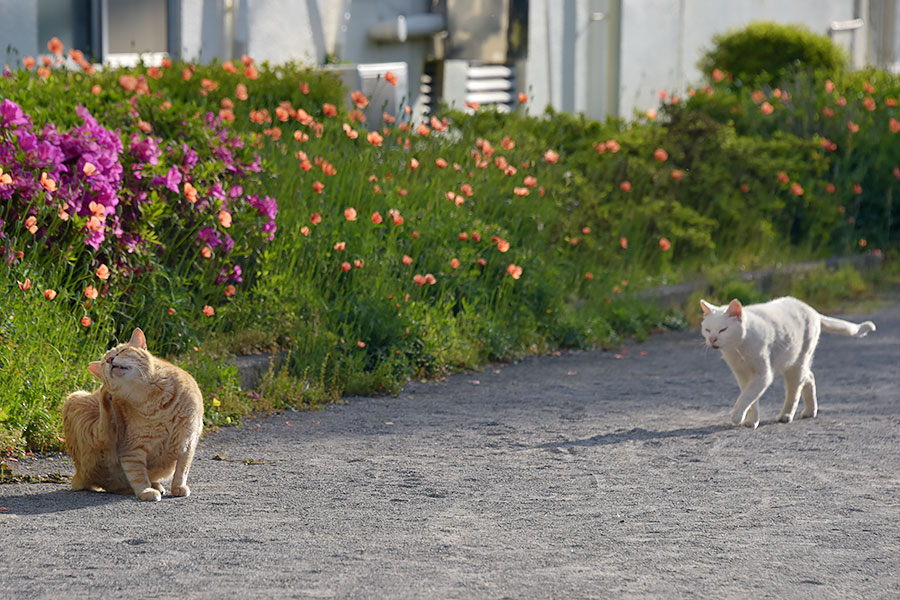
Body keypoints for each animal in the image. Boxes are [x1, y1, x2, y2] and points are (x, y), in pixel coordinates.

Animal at [62, 330, 205, 500]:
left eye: (121, 351)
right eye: (103, 363)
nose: (109, 360)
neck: (153, 400)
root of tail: (79, 474)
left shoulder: (187, 442)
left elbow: (182, 470)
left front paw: (178, 487)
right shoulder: (132, 450)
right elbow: (138, 475)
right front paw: (145, 491)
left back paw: (156, 485)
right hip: (77, 400)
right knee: (104, 430)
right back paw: (104, 394)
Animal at [700, 296, 876, 426]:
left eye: (723, 330)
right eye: (707, 330)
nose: (712, 339)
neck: (738, 349)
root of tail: (812, 310)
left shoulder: (763, 375)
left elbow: (746, 397)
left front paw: (737, 417)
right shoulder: (742, 375)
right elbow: (750, 399)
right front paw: (751, 421)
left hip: (797, 363)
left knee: (795, 391)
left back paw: (786, 415)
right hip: (795, 364)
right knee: (809, 377)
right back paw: (810, 411)